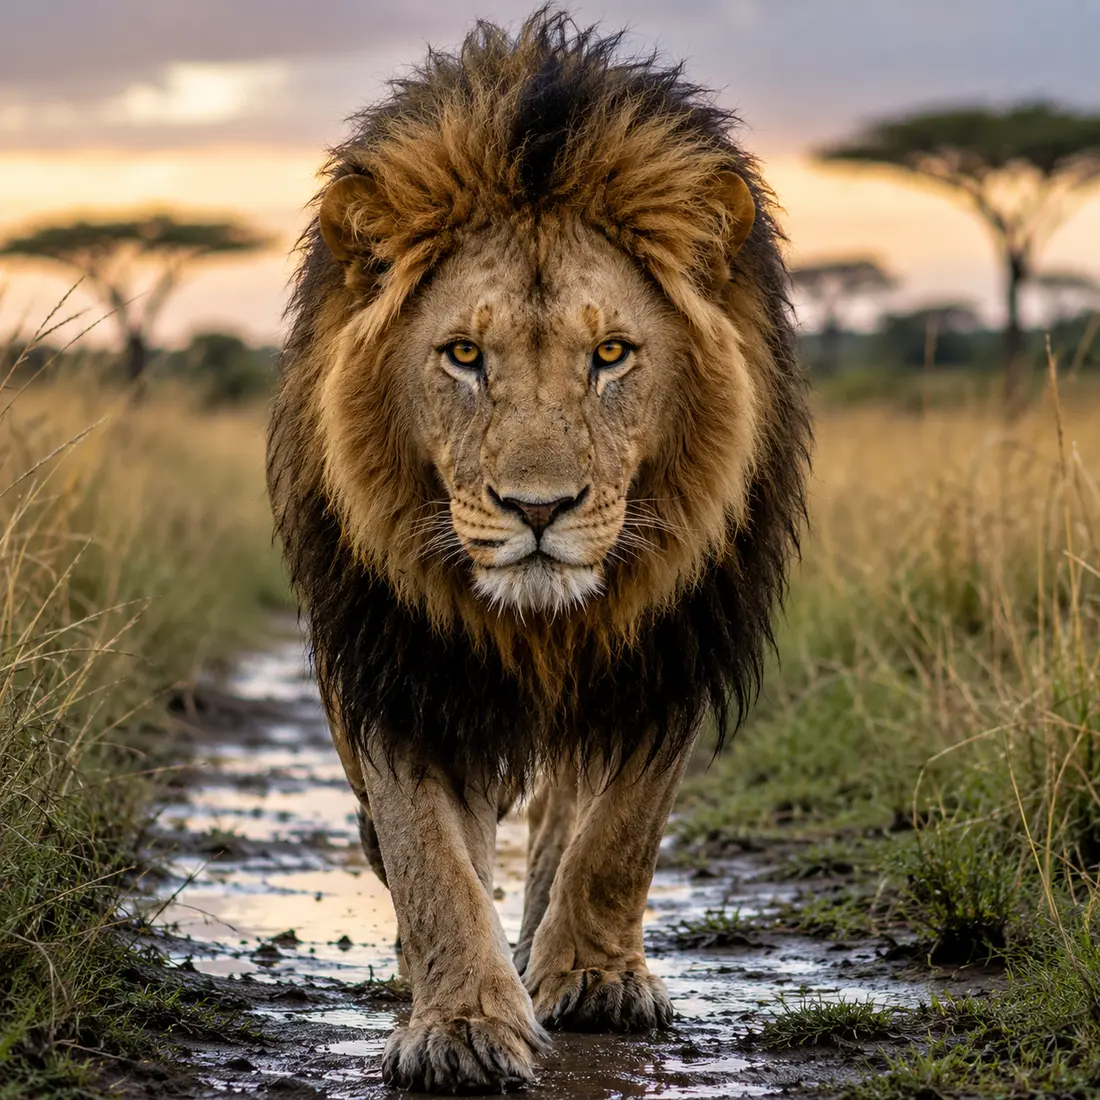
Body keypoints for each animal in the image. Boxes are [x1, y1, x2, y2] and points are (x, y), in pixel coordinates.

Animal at [267, 9, 810, 1094]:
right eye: (463, 356)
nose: (538, 507)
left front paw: (593, 977)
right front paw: (463, 1023)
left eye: (611, 355)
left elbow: (620, 832)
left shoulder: (671, 649)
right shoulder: (393, 660)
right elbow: (427, 853)